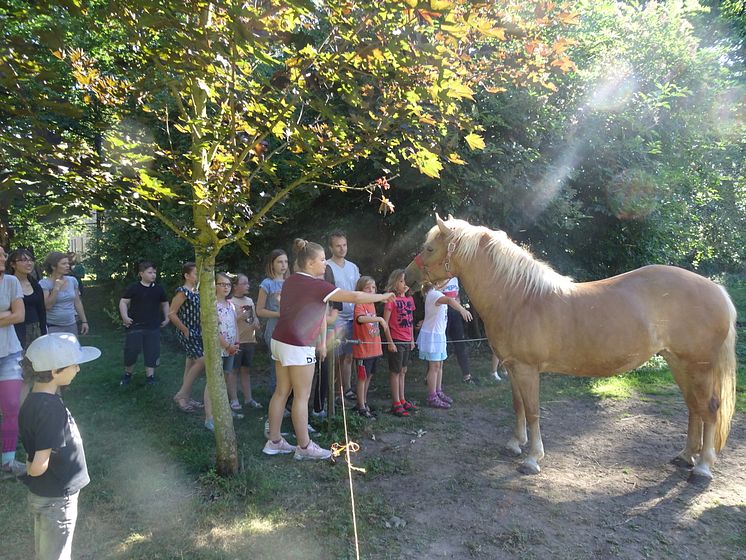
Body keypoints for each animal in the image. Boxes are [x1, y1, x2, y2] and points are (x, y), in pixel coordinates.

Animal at [404, 215, 736, 482]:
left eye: (430, 248)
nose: (407, 277)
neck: (519, 297)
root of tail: (718, 290)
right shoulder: (512, 367)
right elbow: (518, 406)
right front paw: (514, 444)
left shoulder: (527, 369)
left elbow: (533, 411)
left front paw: (532, 458)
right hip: (679, 363)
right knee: (693, 408)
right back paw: (685, 456)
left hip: (699, 366)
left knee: (709, 409)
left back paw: (702, 467)